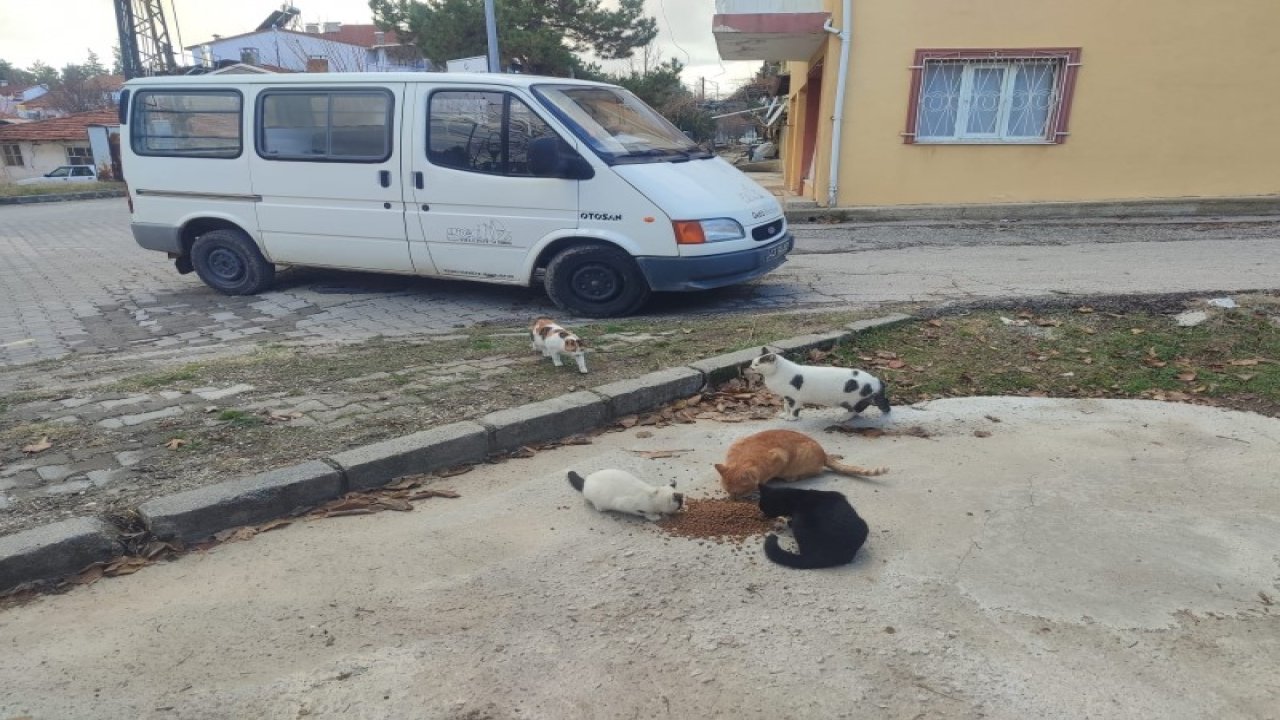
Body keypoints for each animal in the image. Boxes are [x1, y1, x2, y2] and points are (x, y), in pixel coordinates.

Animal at [711, 427, 890, 497]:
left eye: (737, 493)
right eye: (727, 491)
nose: (733, 499)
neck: (745, 457)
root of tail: (824, 453)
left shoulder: (780, 457)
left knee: (816, 471)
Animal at [747, 345, 890, 420]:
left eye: (757, 364)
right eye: (753, 362)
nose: (751, 367)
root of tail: (876, 380)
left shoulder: (794, 398)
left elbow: (794, 409)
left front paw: (792, 418)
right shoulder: (786, 397)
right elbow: (786, 406)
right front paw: (785, 414)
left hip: (851, 400)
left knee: (857, 410)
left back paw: (844, 417)